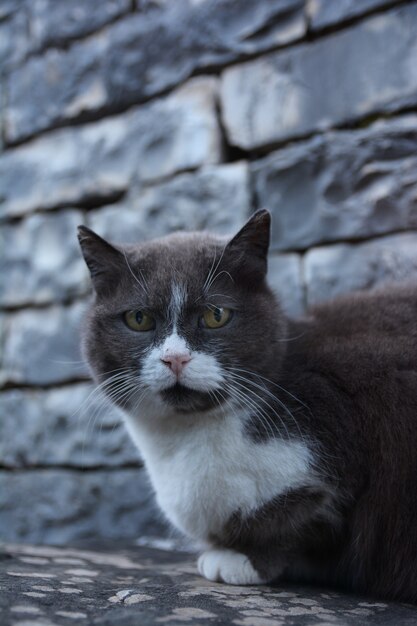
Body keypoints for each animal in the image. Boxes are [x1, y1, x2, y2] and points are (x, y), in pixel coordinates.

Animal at [76, 211, 416, 604]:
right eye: (138, 319)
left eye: (216, 315)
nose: (175, 358)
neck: (187, 437)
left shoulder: (337, 451)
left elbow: (297, 521)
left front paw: (239, 560)